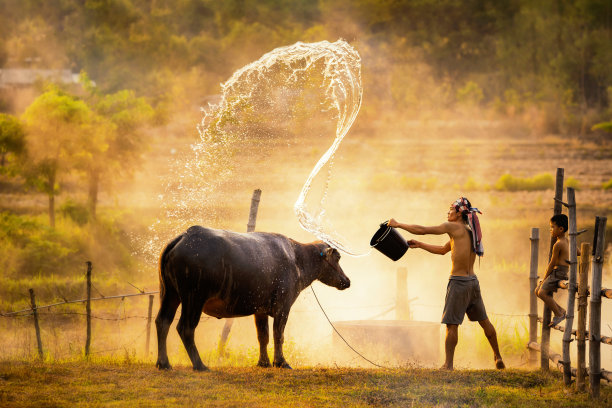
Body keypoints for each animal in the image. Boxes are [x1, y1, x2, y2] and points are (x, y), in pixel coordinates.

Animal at [155, 225, 352, 372]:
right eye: (338, 257)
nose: (347, 281)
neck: (297, 259)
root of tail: (183, 237)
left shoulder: (260, 310)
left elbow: (263, 336)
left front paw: (263, 363)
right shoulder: (283, 307)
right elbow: (278, 335)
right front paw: (281, 362)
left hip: (169, 294)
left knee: (162, 322)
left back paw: (163, 363)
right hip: (193, 298)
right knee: (185, 328)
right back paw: (200, 365)